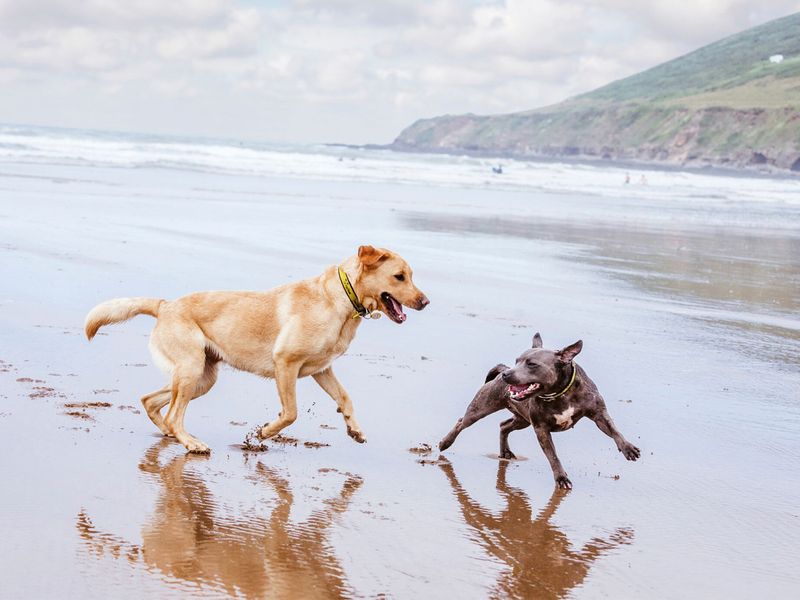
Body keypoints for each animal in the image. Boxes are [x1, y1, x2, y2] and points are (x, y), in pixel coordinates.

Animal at [440, 332, 640, 488]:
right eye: (517, 361)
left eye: (531, 364)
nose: (506, 374)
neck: (560, 392)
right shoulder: (541, 429)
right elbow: (553, 456)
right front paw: (561, 478)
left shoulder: (598, 414)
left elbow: (613, 429)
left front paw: (628, 448)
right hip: (481, 408)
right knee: (462, 422)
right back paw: (445, 443)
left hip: (522, 420)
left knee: (504, 425)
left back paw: (505, 452)